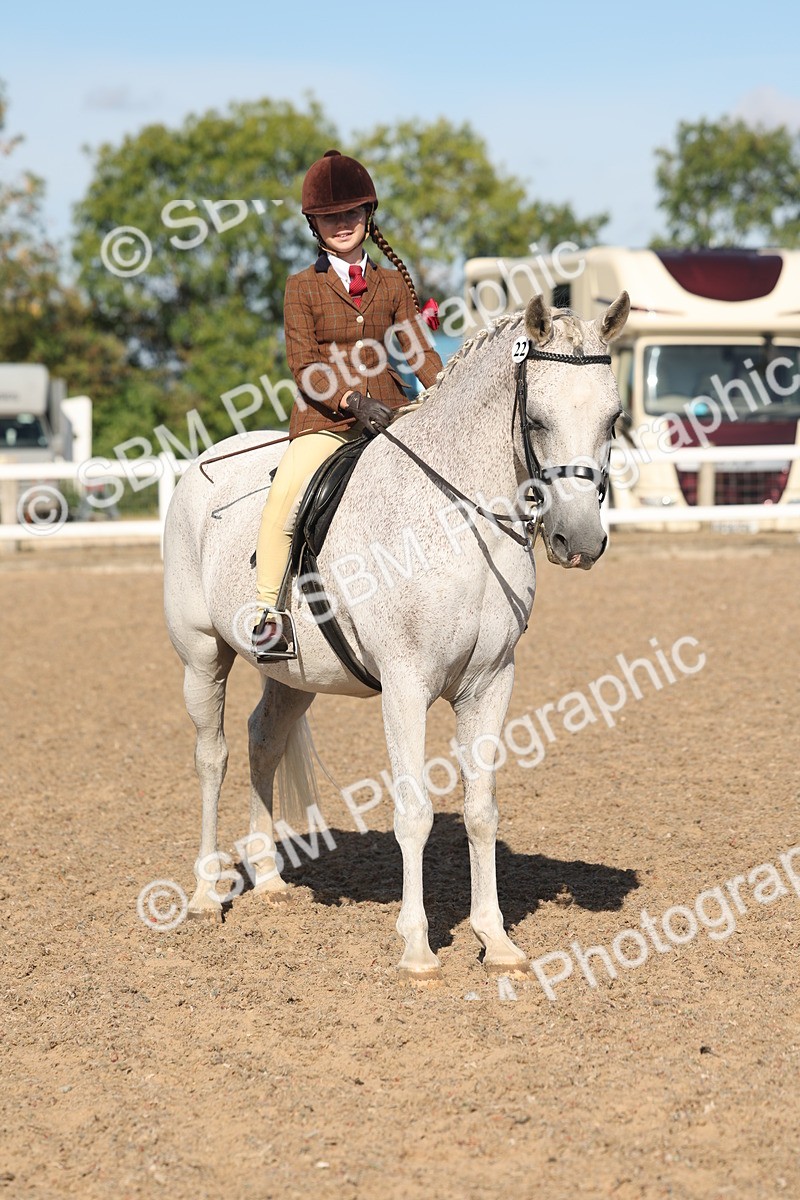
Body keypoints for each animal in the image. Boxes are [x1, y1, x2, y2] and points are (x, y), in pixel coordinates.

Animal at [163, 291, 630, 980]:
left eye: (613, 417)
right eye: (539, 420)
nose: (580, 541)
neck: (462, 520)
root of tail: (202, 464)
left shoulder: (491, 684)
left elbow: (481, 812)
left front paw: (497, 941)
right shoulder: (407, 686)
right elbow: (414, 812)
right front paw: (417, 948)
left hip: (294, 673)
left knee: (263, 741)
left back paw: (270, 880)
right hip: (202, 657)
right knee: (211, 756)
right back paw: (203, 895)